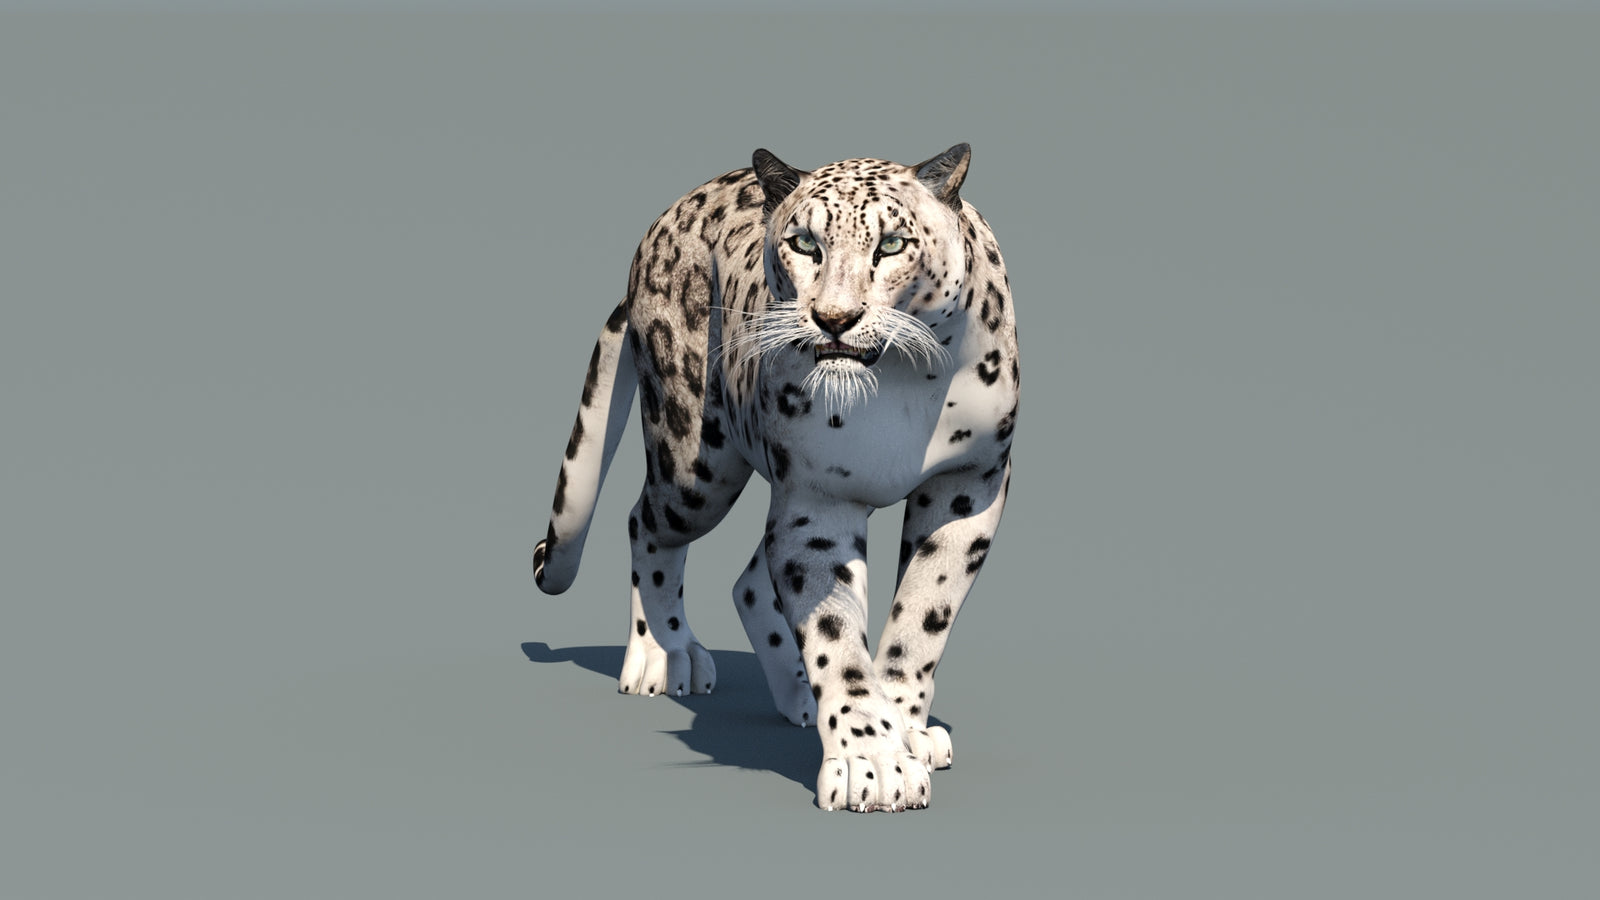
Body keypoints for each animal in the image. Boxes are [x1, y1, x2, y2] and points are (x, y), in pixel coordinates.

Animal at [531, 144, 1018, 812]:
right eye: (804, 243)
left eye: (892, 244)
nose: (834, 318)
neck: (900, 384)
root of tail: (661, 222)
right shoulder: (817, 497)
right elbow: (836, 633)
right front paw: (871, 761)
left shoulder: (967, 486)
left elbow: (923, 616)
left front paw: (907, 730)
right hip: (696, 464)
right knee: (646, 522)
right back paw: (665, 655)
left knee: (748, 581)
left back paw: (794, 697)